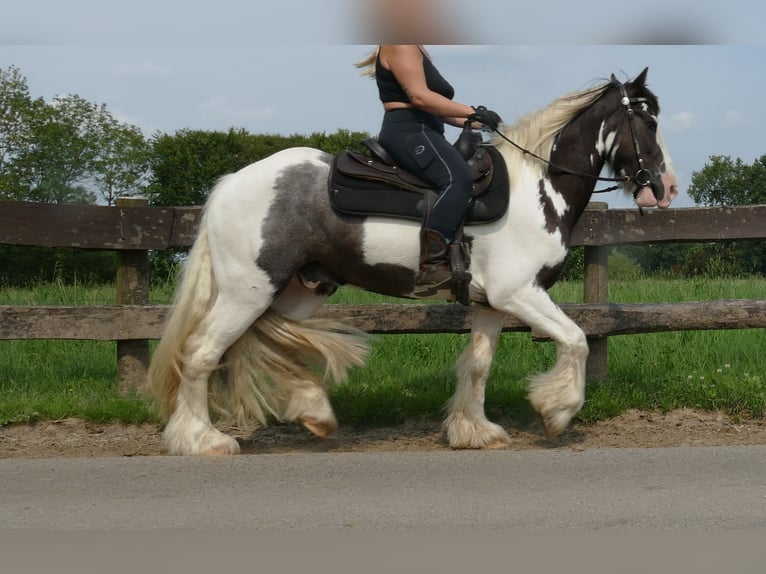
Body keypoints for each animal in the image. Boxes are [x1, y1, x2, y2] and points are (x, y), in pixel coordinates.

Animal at [148, 67, 680, 456]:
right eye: (649, 121)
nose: (667, 187)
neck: (539, 187)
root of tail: (230, 183)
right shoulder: (520, 293)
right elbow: (576, 340)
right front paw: (557, 412)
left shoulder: (492, 303)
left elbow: (478, 366)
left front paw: (474, 431)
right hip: (249, 290)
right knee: (202, 353)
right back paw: (202, 440)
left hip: (297, 290)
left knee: (264, 343)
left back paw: (312, 411)